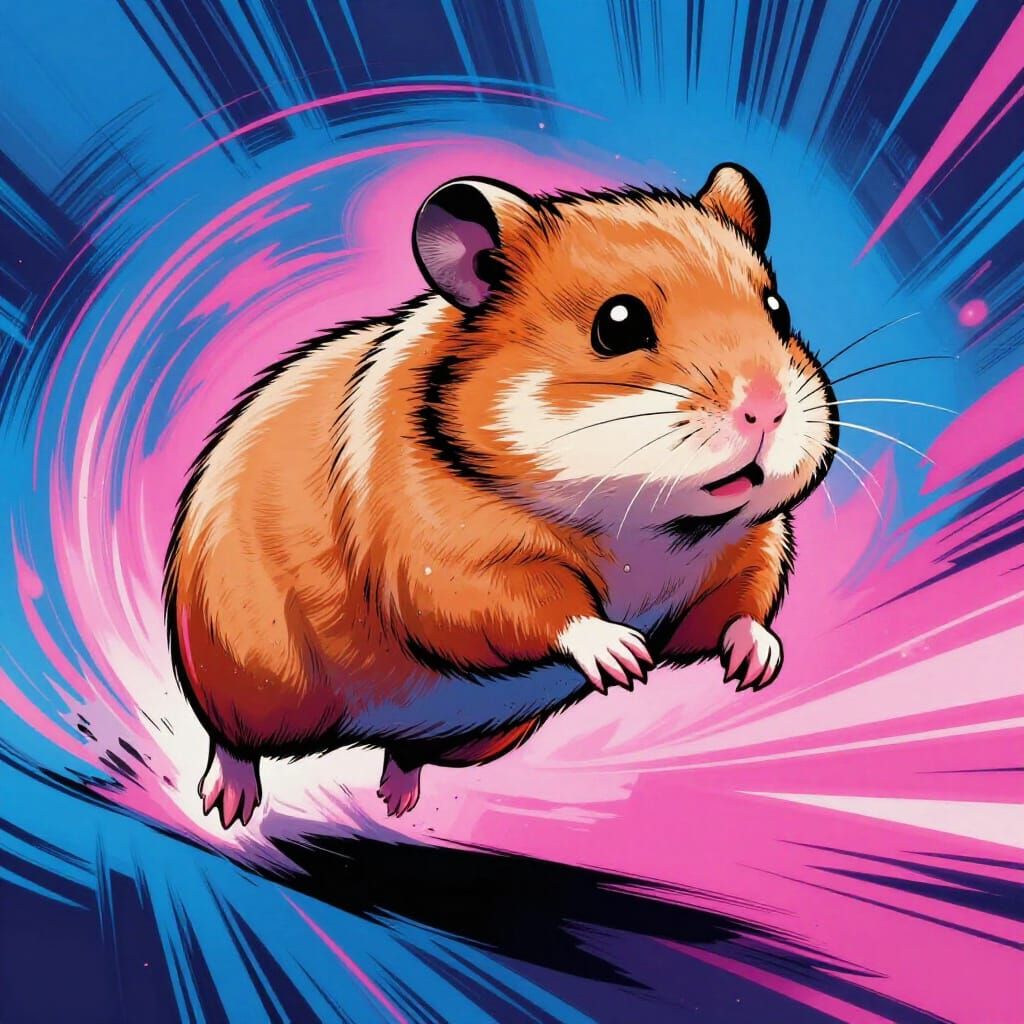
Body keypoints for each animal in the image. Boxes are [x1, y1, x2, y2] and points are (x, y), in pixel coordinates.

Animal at [164, 163, 836, 827]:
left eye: (777, 310)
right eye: (618, 324)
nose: (767, 409)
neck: (642, 528)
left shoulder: (748, 550)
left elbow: (738, 609)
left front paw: (758, 665)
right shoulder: (444, 560)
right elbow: (540, 604)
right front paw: (625, 659)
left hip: (474, 740)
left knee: (406, 753)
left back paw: (397, 804)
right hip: (251, 679)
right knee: (232, 743)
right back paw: (227, 808)